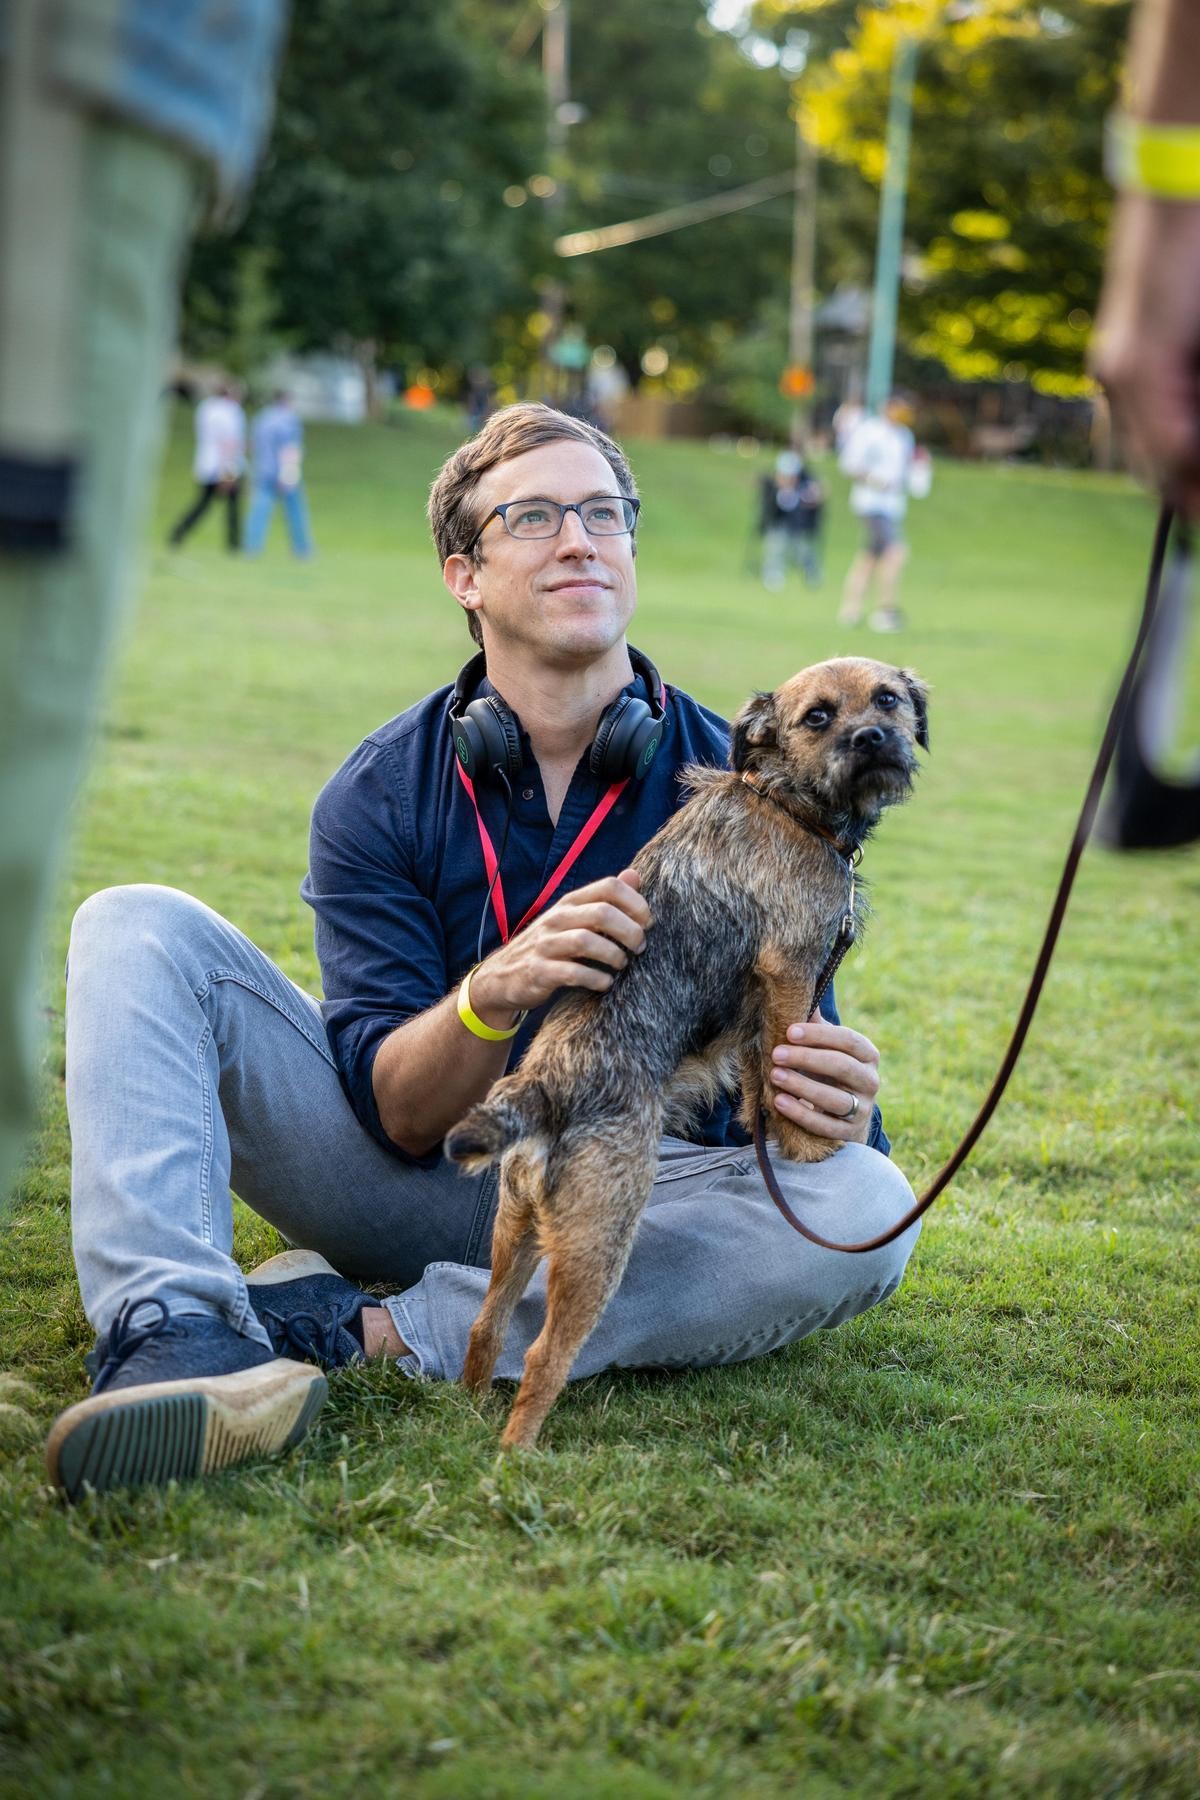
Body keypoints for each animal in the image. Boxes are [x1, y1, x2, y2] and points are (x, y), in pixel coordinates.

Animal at [444, 662, 928, 1447]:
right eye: (818, 717)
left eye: (887, 699)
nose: (871, 738)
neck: (782, 800)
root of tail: (546, 1088)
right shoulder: (790, 970)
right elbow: (785, 1059)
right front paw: (806, 1147)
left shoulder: (762, 999)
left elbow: (763, 1076)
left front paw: (775, 1130)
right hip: (602, 1235)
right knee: (545, 1353)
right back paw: (516, 1458)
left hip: (515, 1222)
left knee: (487, 1323)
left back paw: (468, 1410)